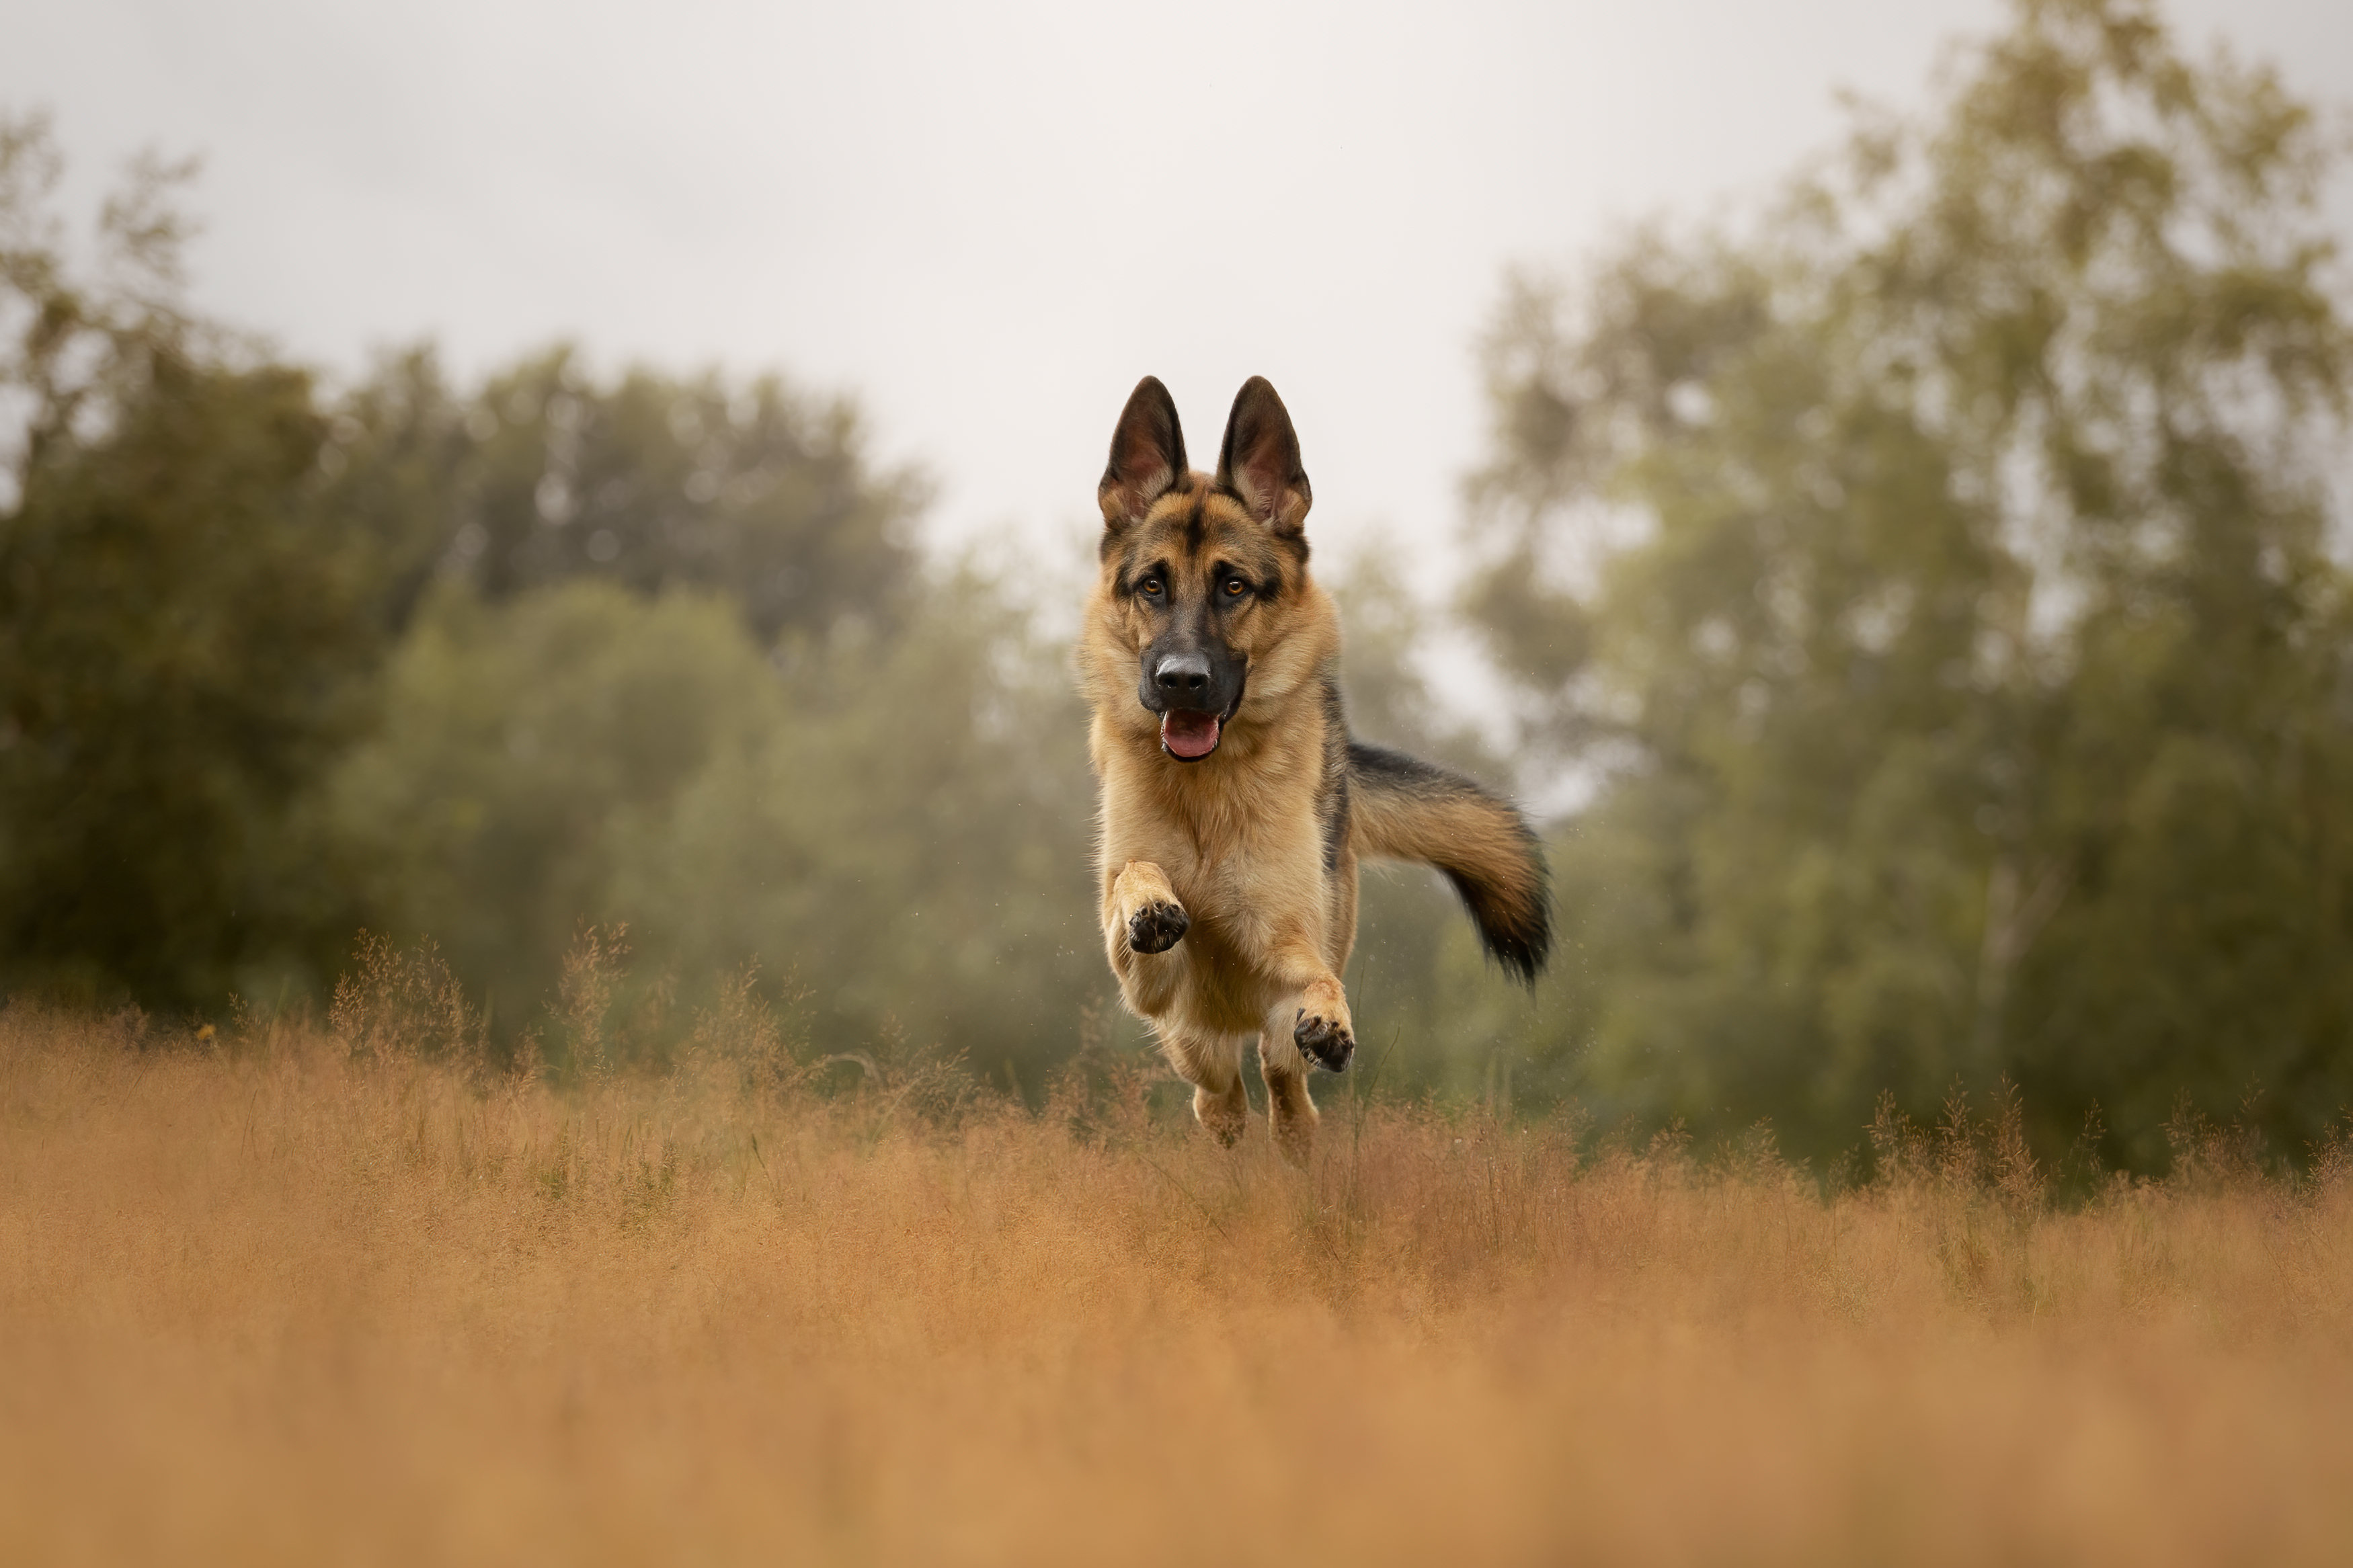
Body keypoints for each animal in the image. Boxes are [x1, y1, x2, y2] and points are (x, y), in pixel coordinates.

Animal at [1080, 374, 1550, 1159]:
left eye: (1233, 586)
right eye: (1151, 585)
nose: (1182, 681)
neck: (1209, 792)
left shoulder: (1292, 943)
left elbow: (1317, 983)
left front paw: (1329, 1020)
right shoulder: (1149, 982)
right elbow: (1135, 879)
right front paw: (1152, 902)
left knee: (1281, 1082)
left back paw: (1295, 1131)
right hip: (1191, 1036)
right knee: (1218, 1090)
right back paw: (1229, 1133)